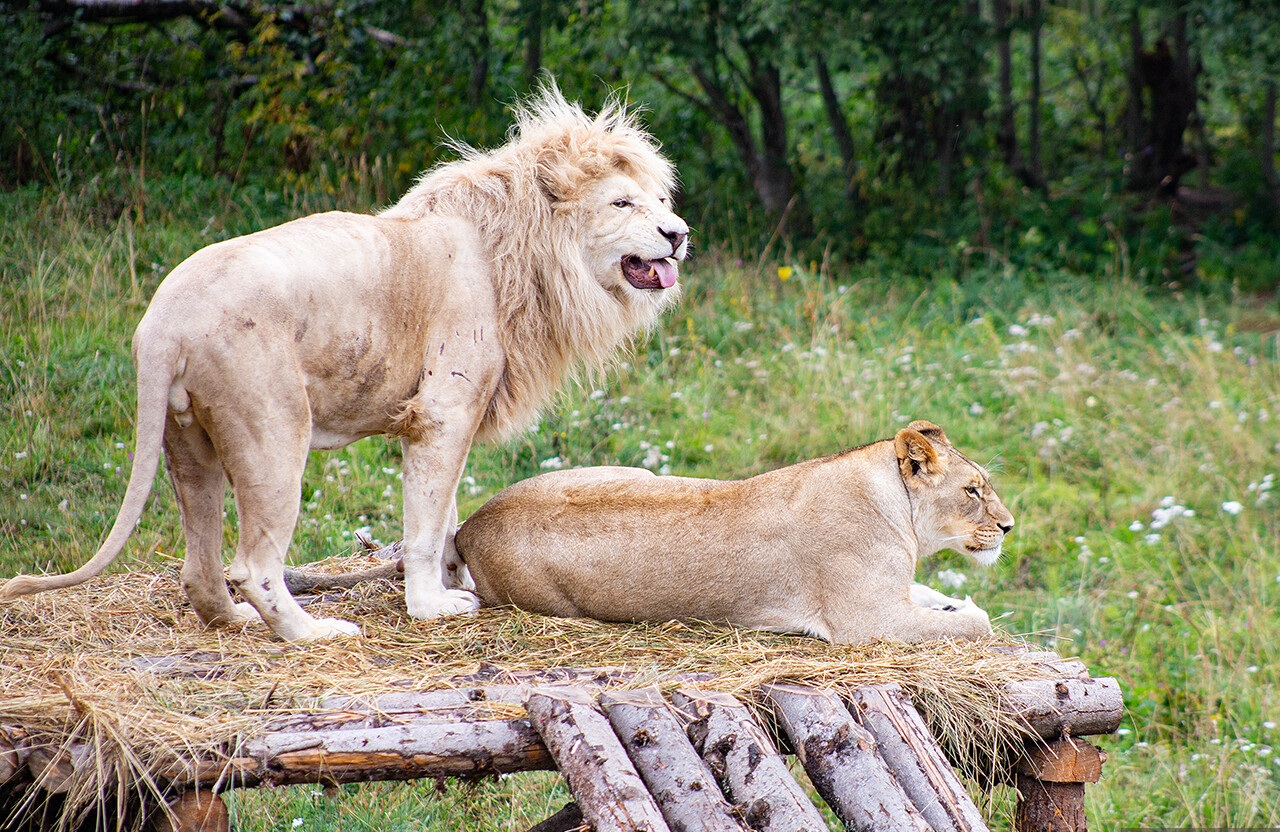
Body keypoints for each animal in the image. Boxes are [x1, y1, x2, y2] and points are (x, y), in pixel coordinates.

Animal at [2, 85, 691, 642]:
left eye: (662, 199)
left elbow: (446, 515)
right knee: (255, 565)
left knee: (200, 569)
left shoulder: (448, 421)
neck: (525, 255)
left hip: (187, 441)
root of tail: (163, 317)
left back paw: (238, 622)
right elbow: (424, 525)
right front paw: (431, 607)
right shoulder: (441, 413)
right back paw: (315, 633)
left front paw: (449, 582)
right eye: (623, 204)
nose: (678, 233)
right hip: (276, 433)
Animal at [455, 417, 1013, 645]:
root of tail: (470, 525)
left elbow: (930, 594)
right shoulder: (871, 623)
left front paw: (952, 601)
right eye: (973, 491)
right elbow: (975, 627)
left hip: (635, 473)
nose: (1008, 526)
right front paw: (969, 611)